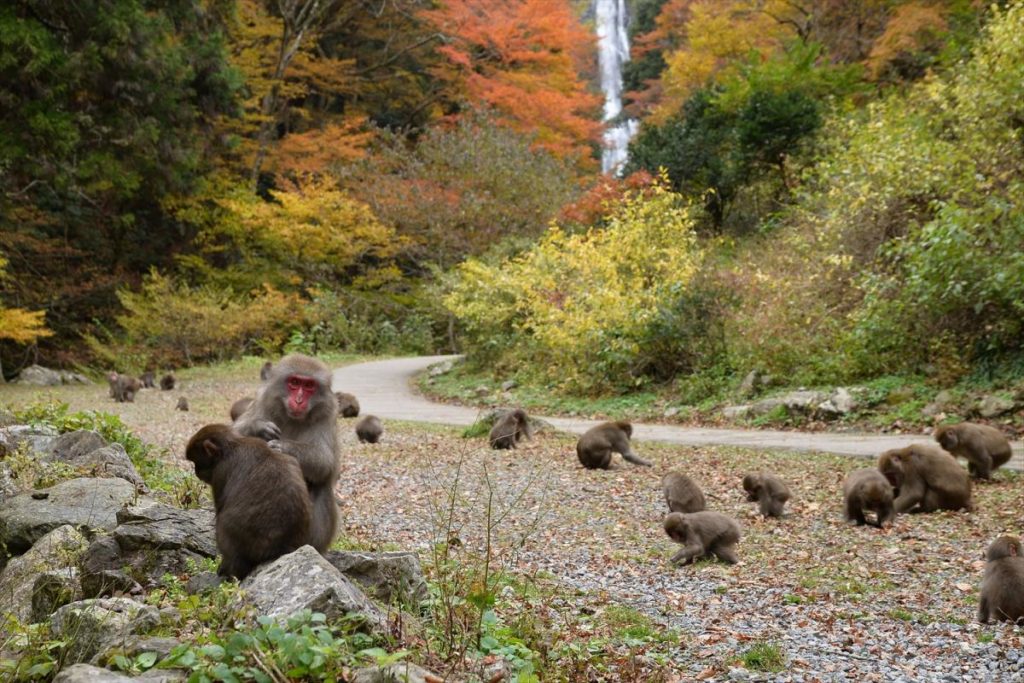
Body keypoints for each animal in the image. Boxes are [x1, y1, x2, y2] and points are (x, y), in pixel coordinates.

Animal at [186, 423, 309, 581]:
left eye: (197, 462)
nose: (196, 471)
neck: (232, 446)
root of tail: (281, 546)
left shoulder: (220, 472)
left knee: (223, 525)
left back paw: (229, 570)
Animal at [233, 356, 339, 552]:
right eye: (294, 382)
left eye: (309, 385)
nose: (298, 400)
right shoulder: (262, 400)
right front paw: (258, 427)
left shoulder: (327, 414)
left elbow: (324, 461)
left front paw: (283, 447)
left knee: (320, 485)